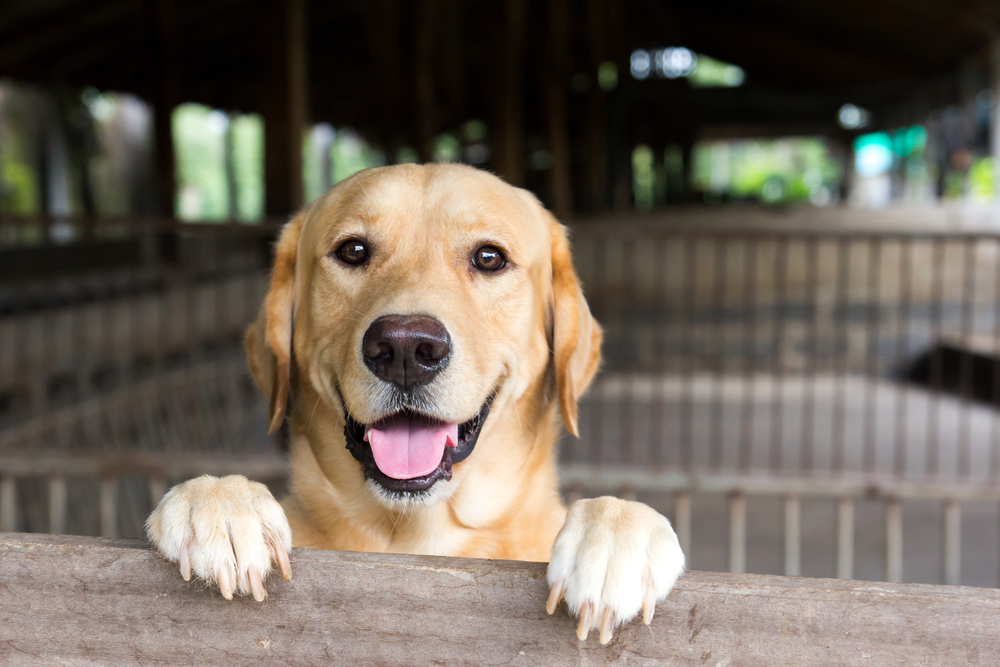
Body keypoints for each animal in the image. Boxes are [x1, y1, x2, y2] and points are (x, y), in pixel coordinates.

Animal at [145, 162, 684, 640]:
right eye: (353, 250)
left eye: (490, 258)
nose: (404, 349)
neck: (418, 535)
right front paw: (219, 503)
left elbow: (619, 515)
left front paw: (615, 537)